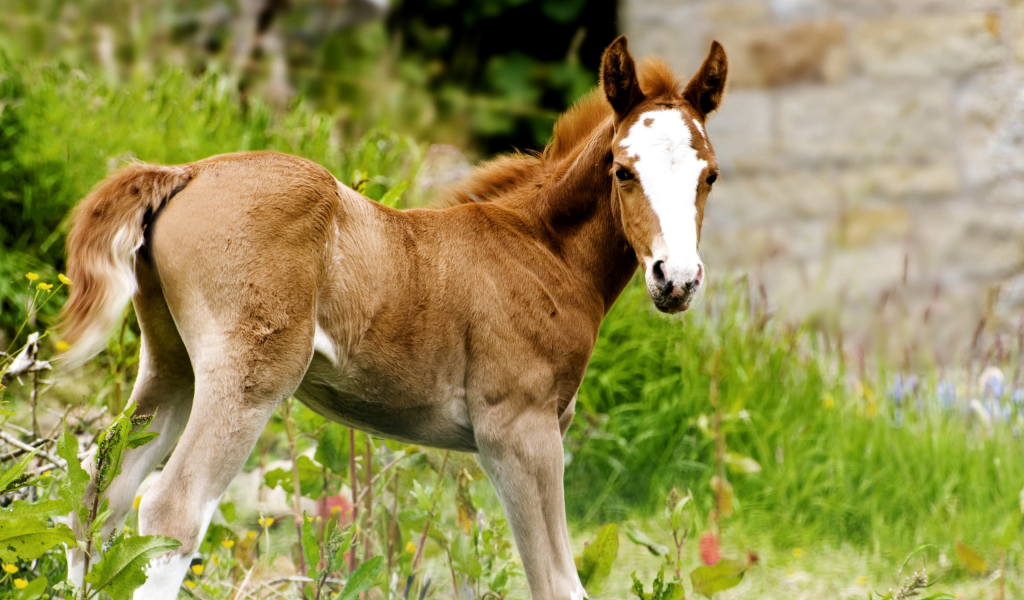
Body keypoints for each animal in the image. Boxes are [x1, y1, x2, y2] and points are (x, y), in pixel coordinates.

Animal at [59, 36, 729, 593]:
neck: (541, 250)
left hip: (171, 364)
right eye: (623, 170)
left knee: (99, 496)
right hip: (249, 376)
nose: (676, 279)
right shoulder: (519, 431)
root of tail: (188, 171)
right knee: (170, 509)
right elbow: (558, 582)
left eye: (711, 176)